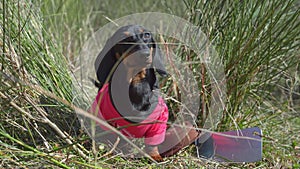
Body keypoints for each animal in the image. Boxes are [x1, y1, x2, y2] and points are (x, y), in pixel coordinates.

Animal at [91, 24, 169, 161]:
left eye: (147, 35)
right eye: (124, 38)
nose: (144, 54)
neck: (136, 83)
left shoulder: (160, 120)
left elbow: (152, 144)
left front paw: (155, 156)